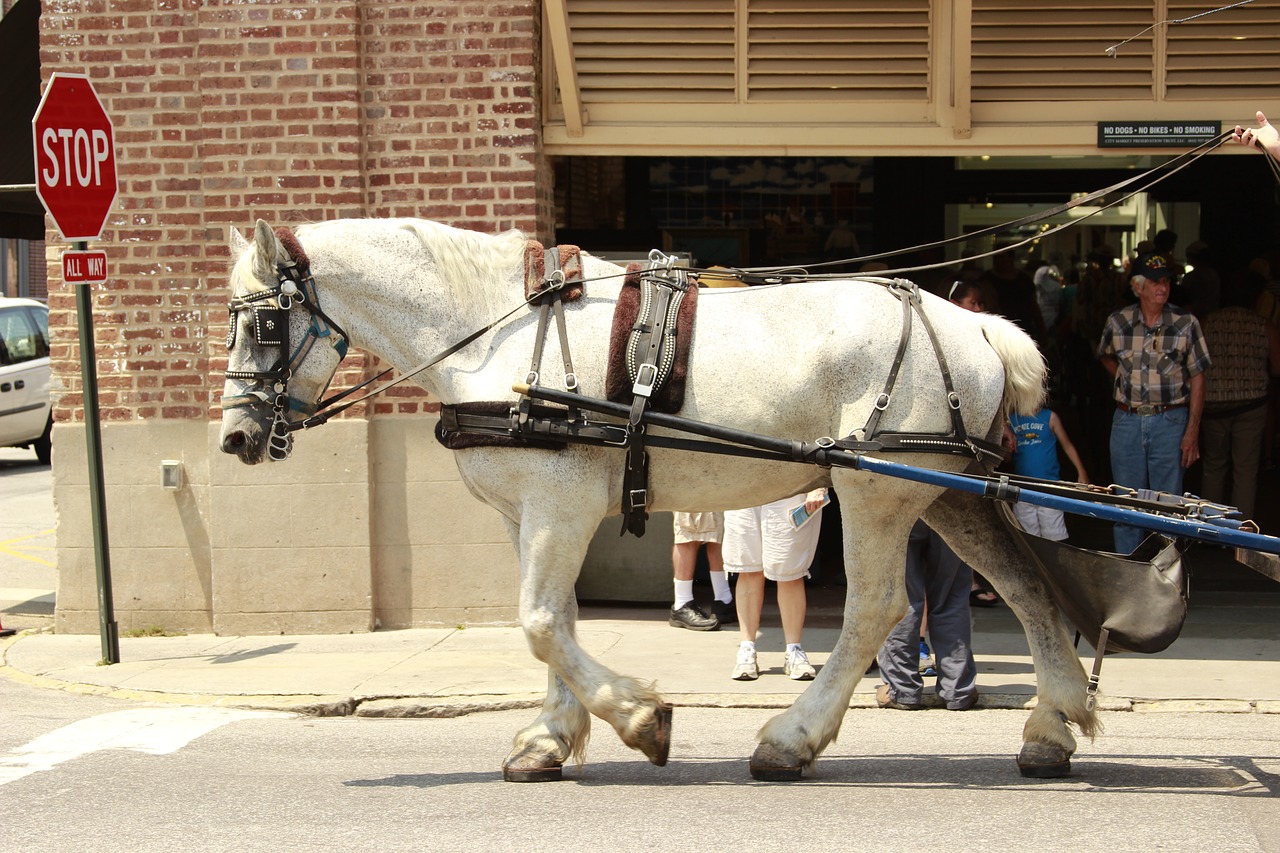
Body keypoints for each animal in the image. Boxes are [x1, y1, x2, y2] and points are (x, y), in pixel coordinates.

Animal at [220, 217, 1100, 778]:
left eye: (261, 325)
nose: (233, 438)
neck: (497, 333)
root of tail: (975, 324)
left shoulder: (561, 508)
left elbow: (539, 622)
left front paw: (639, 719)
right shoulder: (532, 513)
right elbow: (557, 620)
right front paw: (549, 740)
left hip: (875, 486)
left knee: (876, 608)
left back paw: (792, 739)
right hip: (952, 492)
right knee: (1026, 587)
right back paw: (1052, 726)